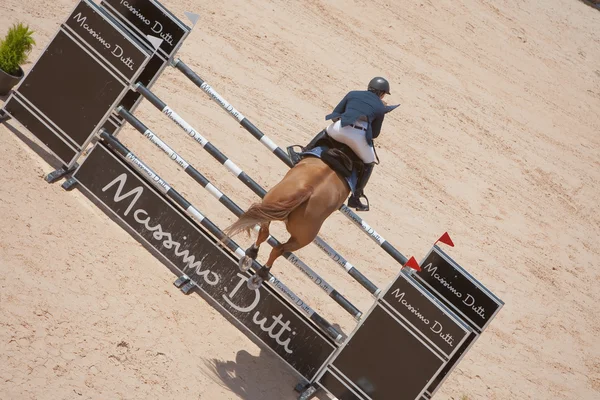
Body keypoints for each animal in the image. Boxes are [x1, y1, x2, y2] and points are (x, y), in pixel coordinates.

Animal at [221, 141, 358, 290]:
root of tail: (309, 189)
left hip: (270, 205)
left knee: (264, 233)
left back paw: (250, 256)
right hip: (302, 240)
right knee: (278, 248)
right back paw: (260, 275)